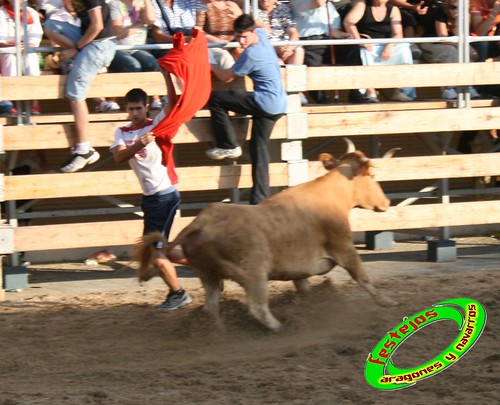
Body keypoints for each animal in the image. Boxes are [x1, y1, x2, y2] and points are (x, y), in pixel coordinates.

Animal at [134, 140, 398, 330]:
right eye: (372, 176)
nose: (386, 202)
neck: (332, 195)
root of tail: (201, 222)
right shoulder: (344, 248)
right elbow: (362, 277)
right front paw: (387, 302)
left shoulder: (299, 271)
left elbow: (305, 288)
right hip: (254, 272)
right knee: (257, 306)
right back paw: (278, 327)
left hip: (208, 274)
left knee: (211, 307)